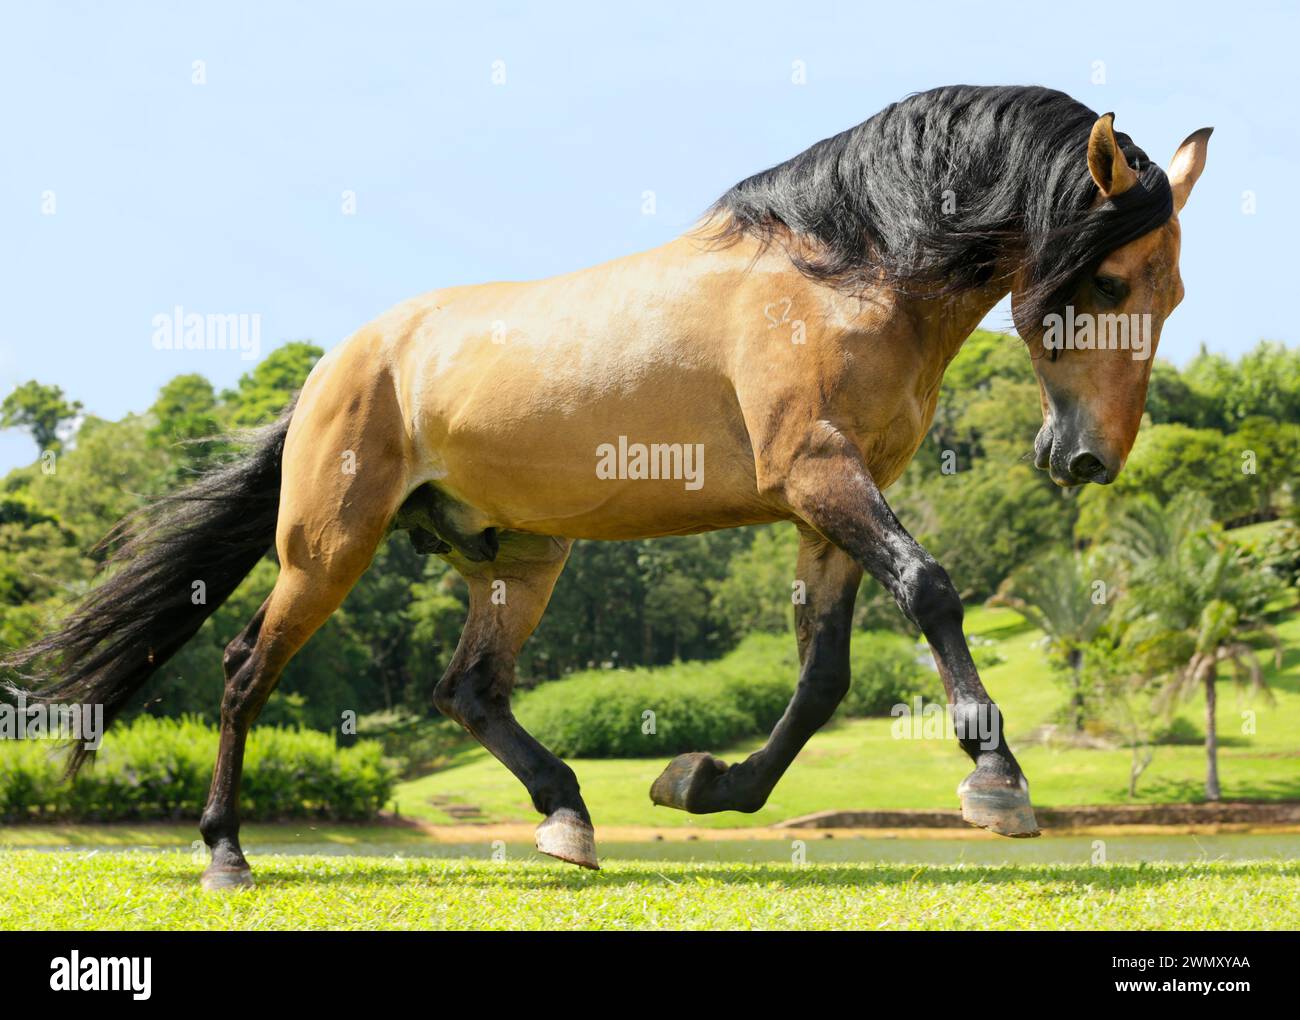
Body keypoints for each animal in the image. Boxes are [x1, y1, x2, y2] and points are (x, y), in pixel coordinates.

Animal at [7, 85, 1210, 888]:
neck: (840, 272)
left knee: (468, 692)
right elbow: (930, 589)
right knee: (248, 671)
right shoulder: (819, 475)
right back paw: (225, 853)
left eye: (1174, 291)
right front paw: (995, 779)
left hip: (519, 559)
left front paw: (703, 783)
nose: (1087, 459)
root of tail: (337, 365)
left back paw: (568, 820)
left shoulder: (827, 509)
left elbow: (823, 678)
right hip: (327, 547)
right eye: (1107, 280)